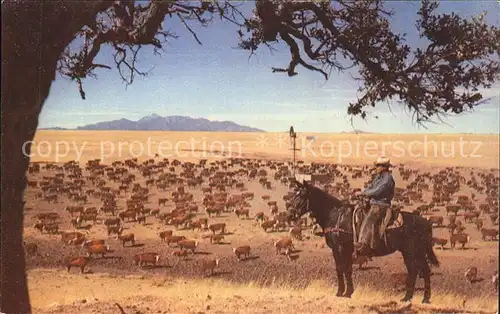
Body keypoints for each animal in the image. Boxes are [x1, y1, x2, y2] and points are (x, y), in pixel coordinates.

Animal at [290, 180, 438, 302]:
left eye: (302, 195)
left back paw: (418, 298)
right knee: (419, 270)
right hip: (413, 252)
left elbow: (344, 268)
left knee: (418, 270)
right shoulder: (341, 250)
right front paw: (344, 292)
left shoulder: (341, 248)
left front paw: (345, 292)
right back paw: (414, 298)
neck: (335, 215)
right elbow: (343, 269)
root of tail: (425, 222)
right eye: (295, 194)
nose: (290, 213)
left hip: (412, 251)